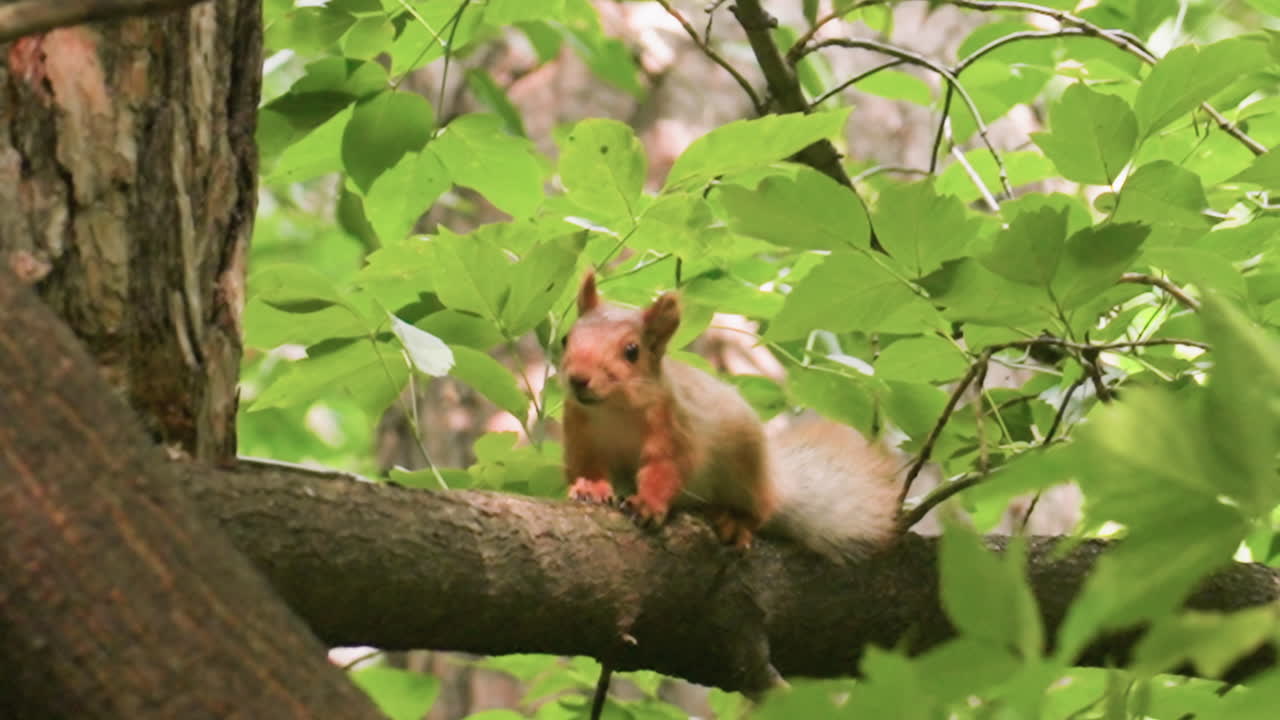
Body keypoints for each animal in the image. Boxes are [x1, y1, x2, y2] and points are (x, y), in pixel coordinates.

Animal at [559, 271, 904, 562]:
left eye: (632, 351)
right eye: (565, 339)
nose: (578, 379)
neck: (613, 409)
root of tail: (775, 481)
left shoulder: (674, 425)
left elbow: (667, 468)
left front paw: (648, 503)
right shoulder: (579, 432)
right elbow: (587, 465)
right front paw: (590, 488)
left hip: (744, 464)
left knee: (761, 510)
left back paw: (735, 522)